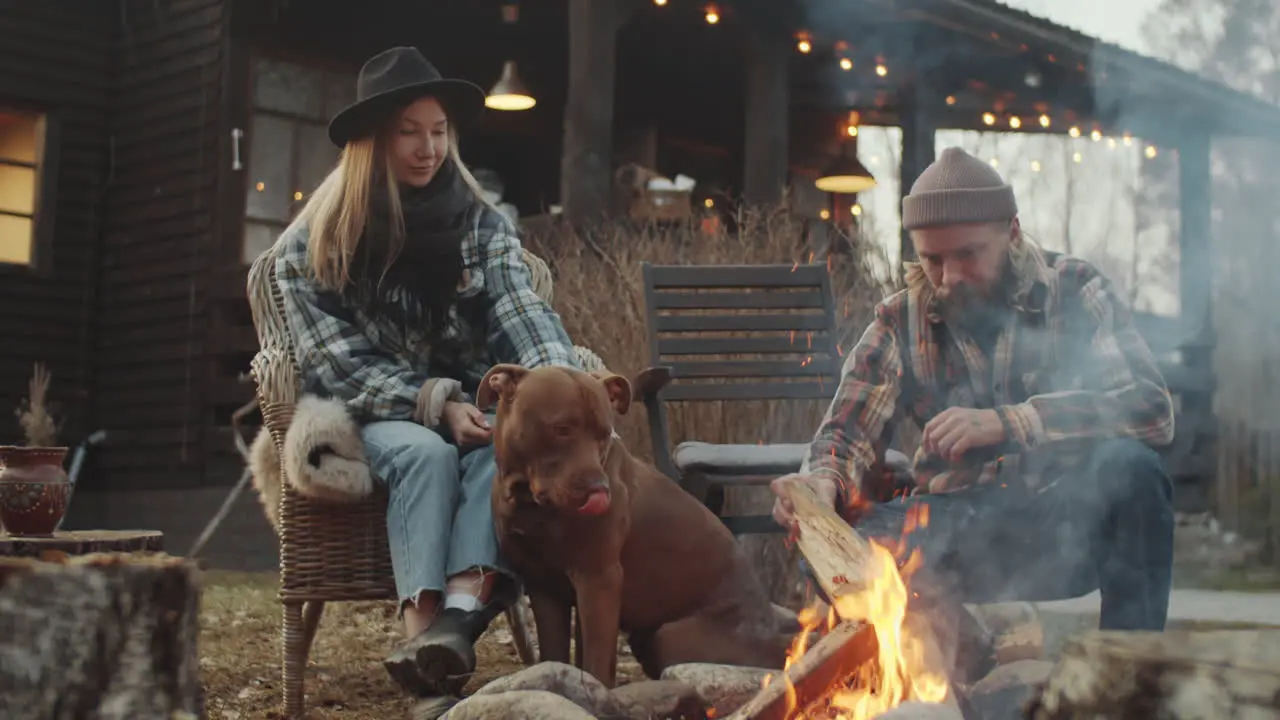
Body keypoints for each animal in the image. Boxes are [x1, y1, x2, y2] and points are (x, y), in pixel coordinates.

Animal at [478, 361, 788, 686]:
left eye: (604, 434)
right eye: (561, 430)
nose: (599, 490)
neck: (528, 500)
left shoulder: (599, 578)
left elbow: (597, 661)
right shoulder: (544, 588)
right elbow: (556, 653)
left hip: (670, 635)